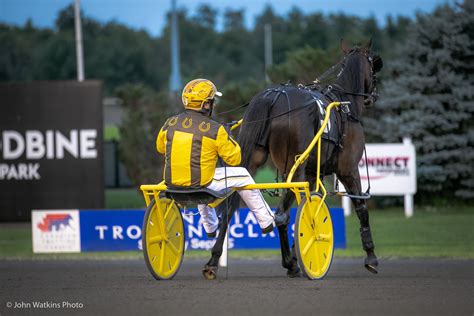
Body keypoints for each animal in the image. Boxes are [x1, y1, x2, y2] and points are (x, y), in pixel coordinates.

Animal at [202, 39, 384, 278]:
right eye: (374, 65)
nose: (373, 96)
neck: (344, 105)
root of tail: (274, 96)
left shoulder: (311, 174)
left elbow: (307, 210)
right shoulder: (348, 169)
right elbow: (360, 209)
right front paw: (371, 257)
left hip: (253, 159)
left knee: (230, 208)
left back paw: (214, 260)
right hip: (293, 168)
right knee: (280, 216)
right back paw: (289, 262)